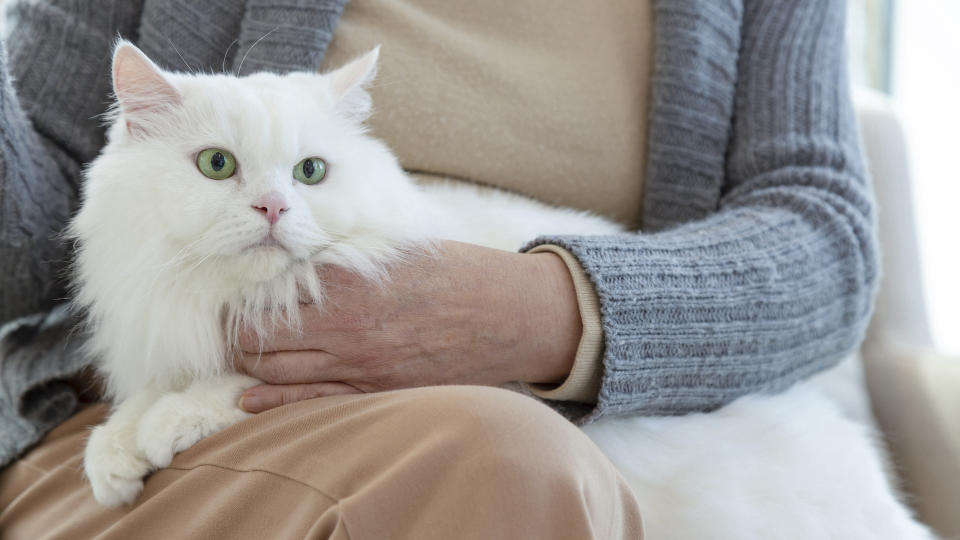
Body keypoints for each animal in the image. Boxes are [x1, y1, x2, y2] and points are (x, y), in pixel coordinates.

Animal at [73, 43, 936, 540]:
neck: (224, 298)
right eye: (217, 166)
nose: (274, 209)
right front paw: (113, 457)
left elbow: (228, 386)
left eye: (311, 172)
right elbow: (137, 404)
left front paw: (166, 427)